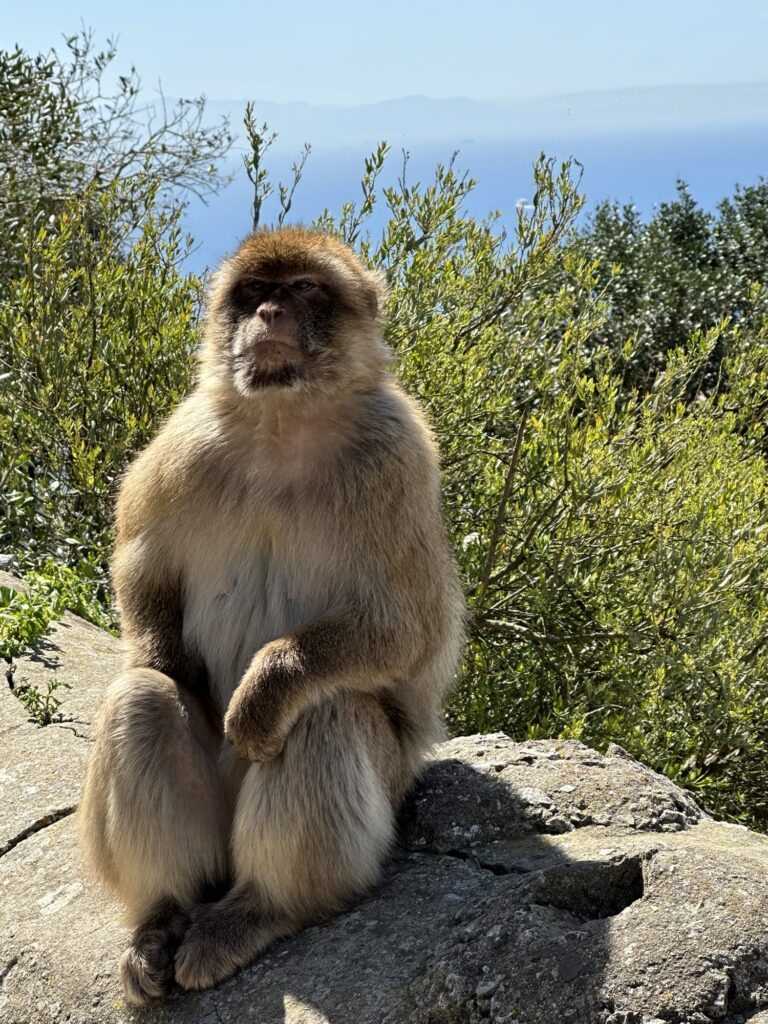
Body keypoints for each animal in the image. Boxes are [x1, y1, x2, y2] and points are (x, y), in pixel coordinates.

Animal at [78, 226, 466, 1005]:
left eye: (305, 290)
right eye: (255, 292)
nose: (268, 317)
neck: (285, 421)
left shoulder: (397, 458)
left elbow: (405, 628)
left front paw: (267, 686)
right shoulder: (186, 438)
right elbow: (141, 565)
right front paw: (164, 660)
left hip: (373, 786)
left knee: (325, 712)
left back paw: (260, 909)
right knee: (143, 702)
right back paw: (161, 920)